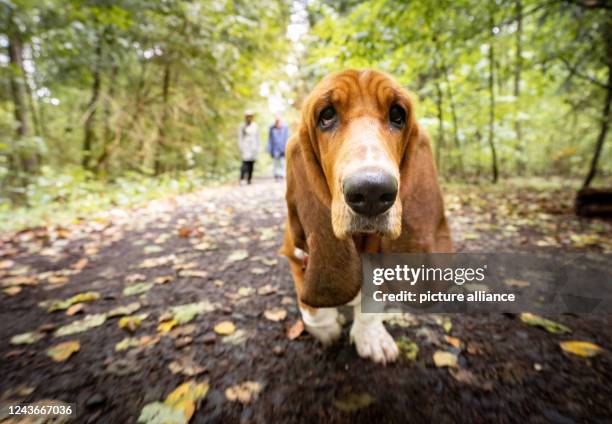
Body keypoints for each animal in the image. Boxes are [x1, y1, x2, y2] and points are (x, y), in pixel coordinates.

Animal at [280, 69, 452, 364]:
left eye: (397, 115)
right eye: (326, 115)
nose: (372, 191)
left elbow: (372, 299)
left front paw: (371, 337)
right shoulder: (295, 253)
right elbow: (314, 308)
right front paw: (327, 329)